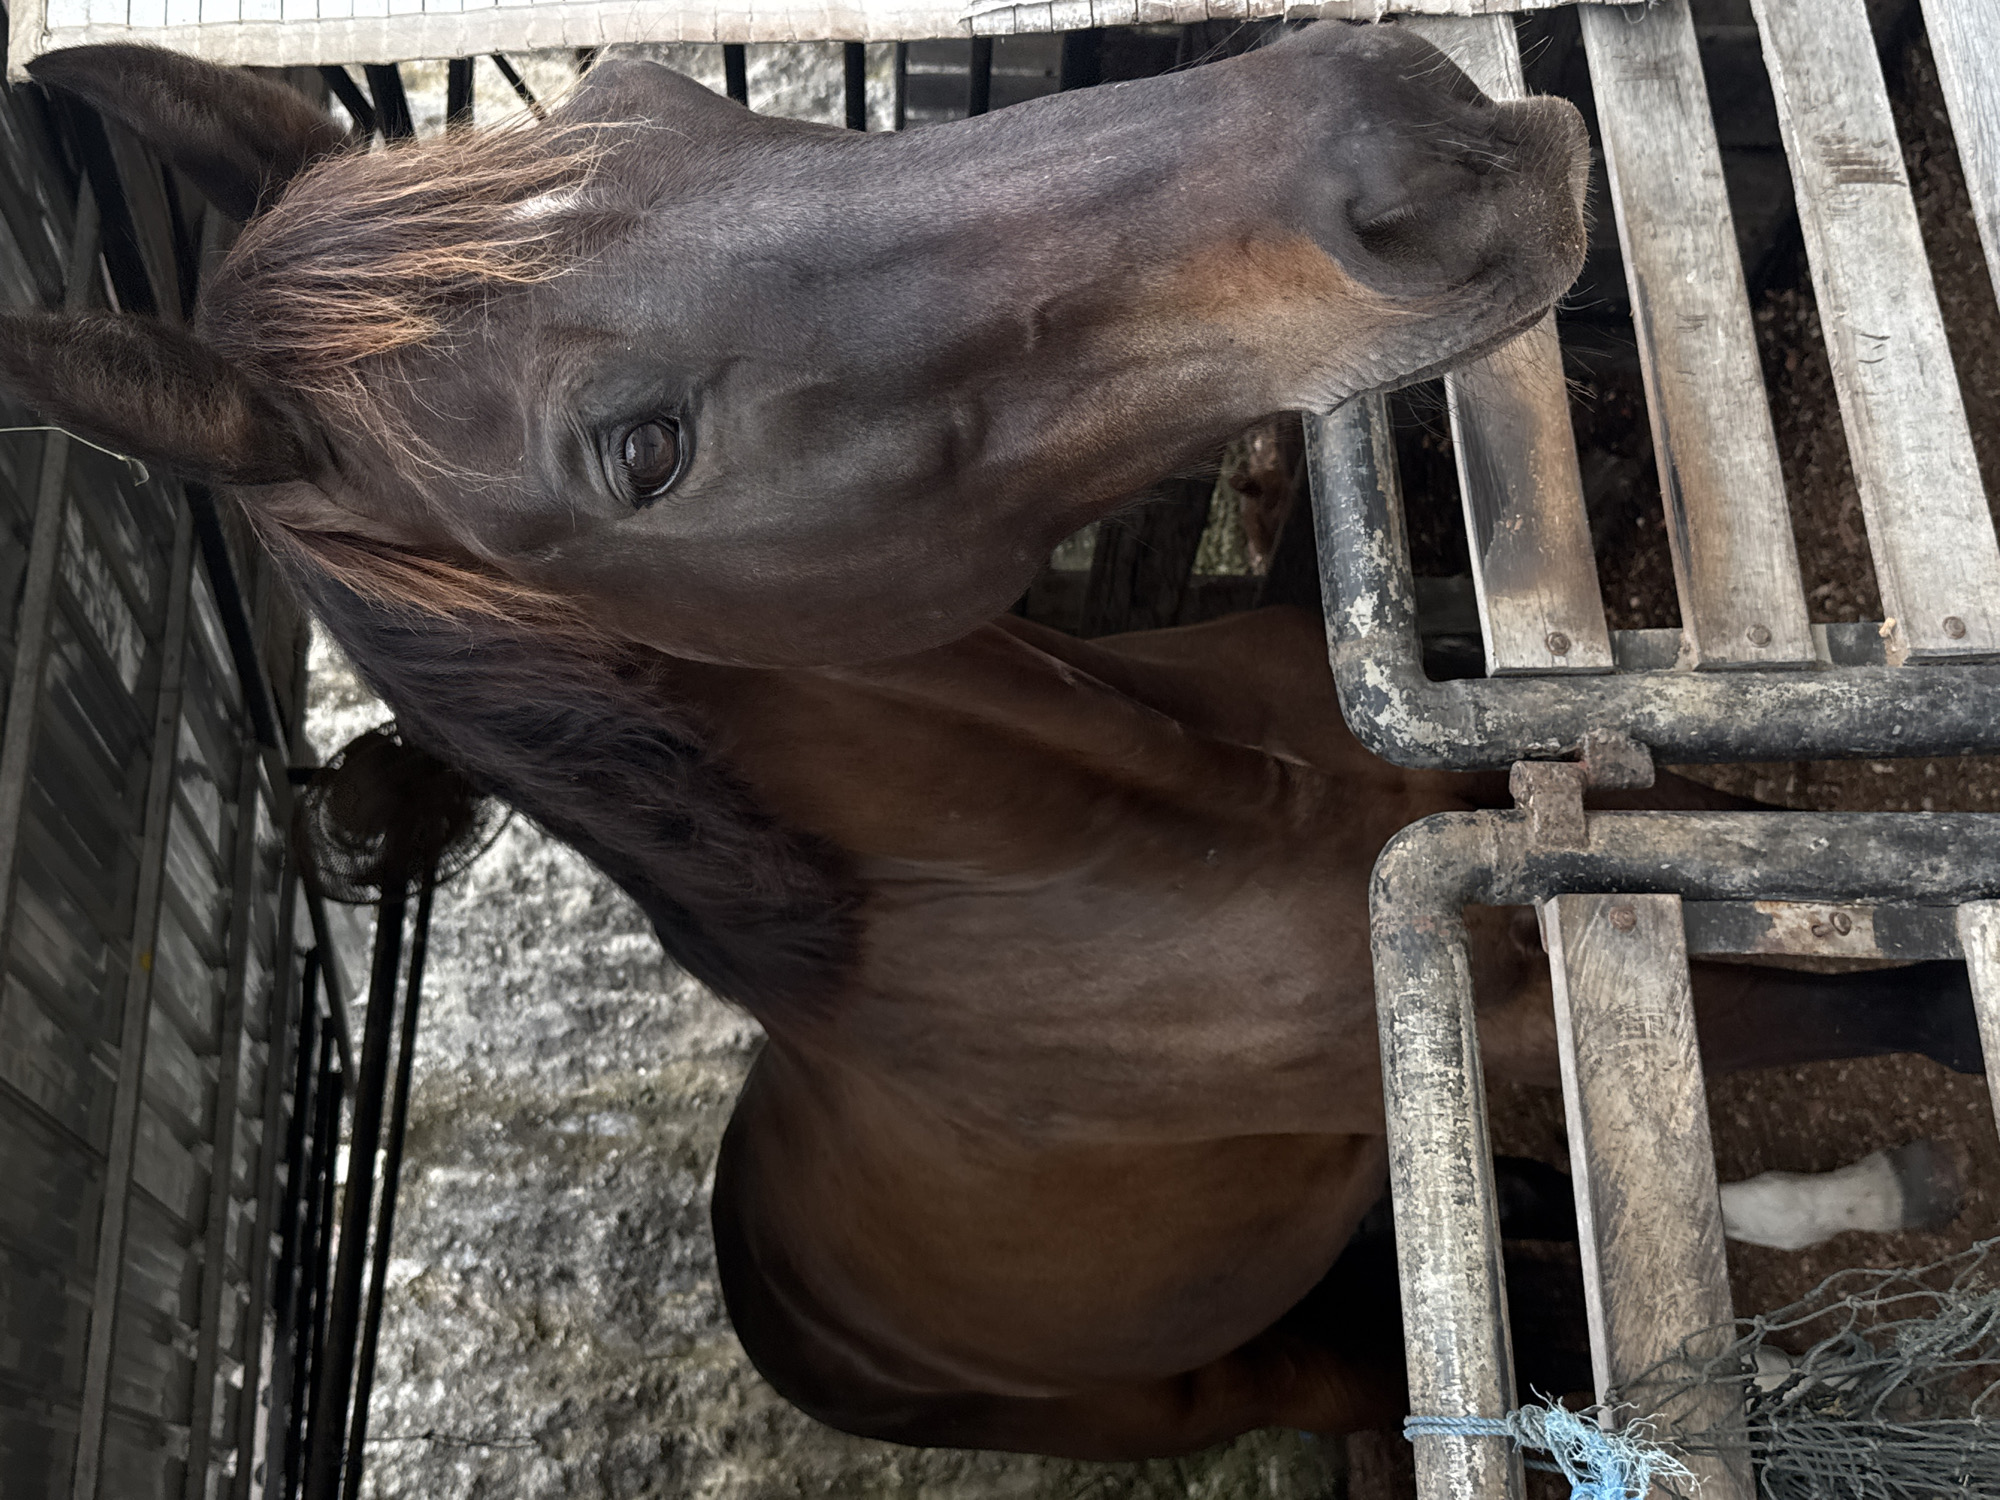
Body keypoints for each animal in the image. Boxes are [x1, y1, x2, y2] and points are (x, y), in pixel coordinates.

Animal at [3, 40, 1985, 1461]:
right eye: (641, 451)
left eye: (657, 97)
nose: (1417, 135)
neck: (1142, 839)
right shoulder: (1491, 1005)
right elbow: (1906, 1001)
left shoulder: (1538, 805)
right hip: (1236, 1374)